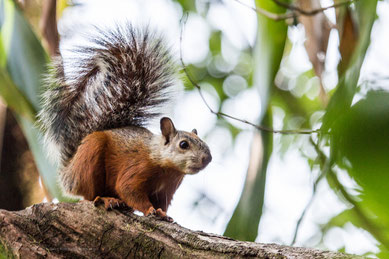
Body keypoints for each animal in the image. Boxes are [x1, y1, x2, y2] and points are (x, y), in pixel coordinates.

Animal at [38, 24, 211, 221]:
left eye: (205, 143)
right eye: (183, 144)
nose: (207, 159)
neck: (164, 165)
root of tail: (68, 171)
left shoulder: (167, 189)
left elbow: (162, 204)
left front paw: (162, 213)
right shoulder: (135, 170)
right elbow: (128, 190)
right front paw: (149, 210)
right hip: (90, 157)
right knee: (89, 196)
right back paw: (106, 199)